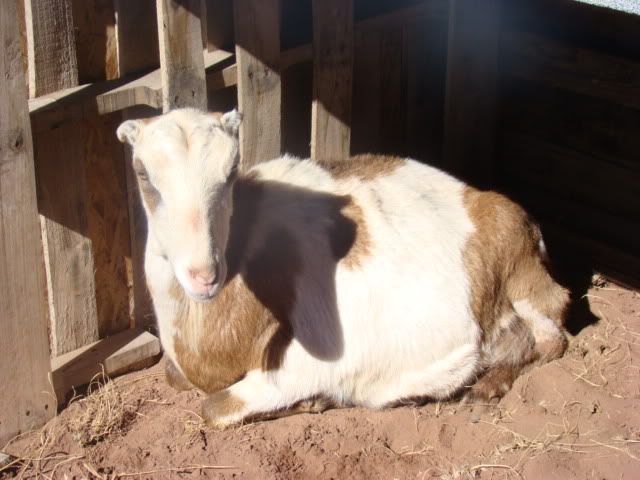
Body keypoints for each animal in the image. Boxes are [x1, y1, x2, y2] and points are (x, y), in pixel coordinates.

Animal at [117, 108, 570, 428]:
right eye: (142, 172)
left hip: (527, 287)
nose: (203, 274)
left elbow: (212, 408)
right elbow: (174, 377)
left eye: (230, 171)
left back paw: (486, 385)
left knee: (554, 339)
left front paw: (318, 400)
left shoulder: (305, 365)